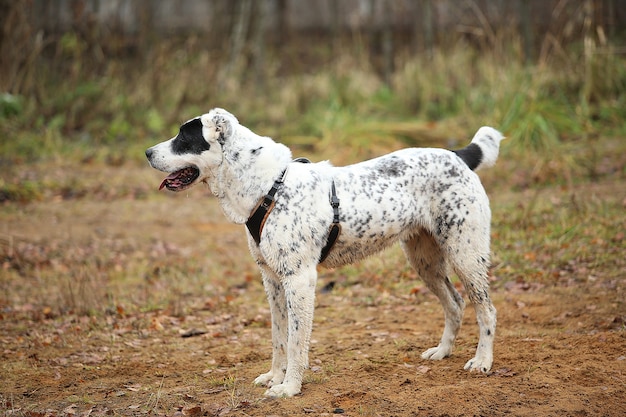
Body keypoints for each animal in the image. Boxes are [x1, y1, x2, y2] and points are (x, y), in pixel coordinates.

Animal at [145, 107, 502, 396]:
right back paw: (442, 352)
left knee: (486, 310)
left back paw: (482, 361)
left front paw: (289, 387)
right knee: (455, 303)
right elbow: (278, 337)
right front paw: (275, 376)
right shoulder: (272, 281)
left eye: (184, 137)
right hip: (424, 261)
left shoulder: (300, 280)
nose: (147, 152)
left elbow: (296, 342)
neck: (270, 187)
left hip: (465, 254)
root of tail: (458, 155)